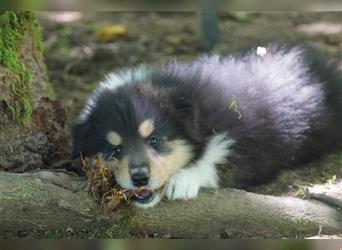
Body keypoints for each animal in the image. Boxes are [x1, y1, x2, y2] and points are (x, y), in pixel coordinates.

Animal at [72, 44, 342, 207]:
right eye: (114, 150)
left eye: (154, 140)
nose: (139, 178)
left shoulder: (249, 145)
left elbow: (217, 159)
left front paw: (183, 179)